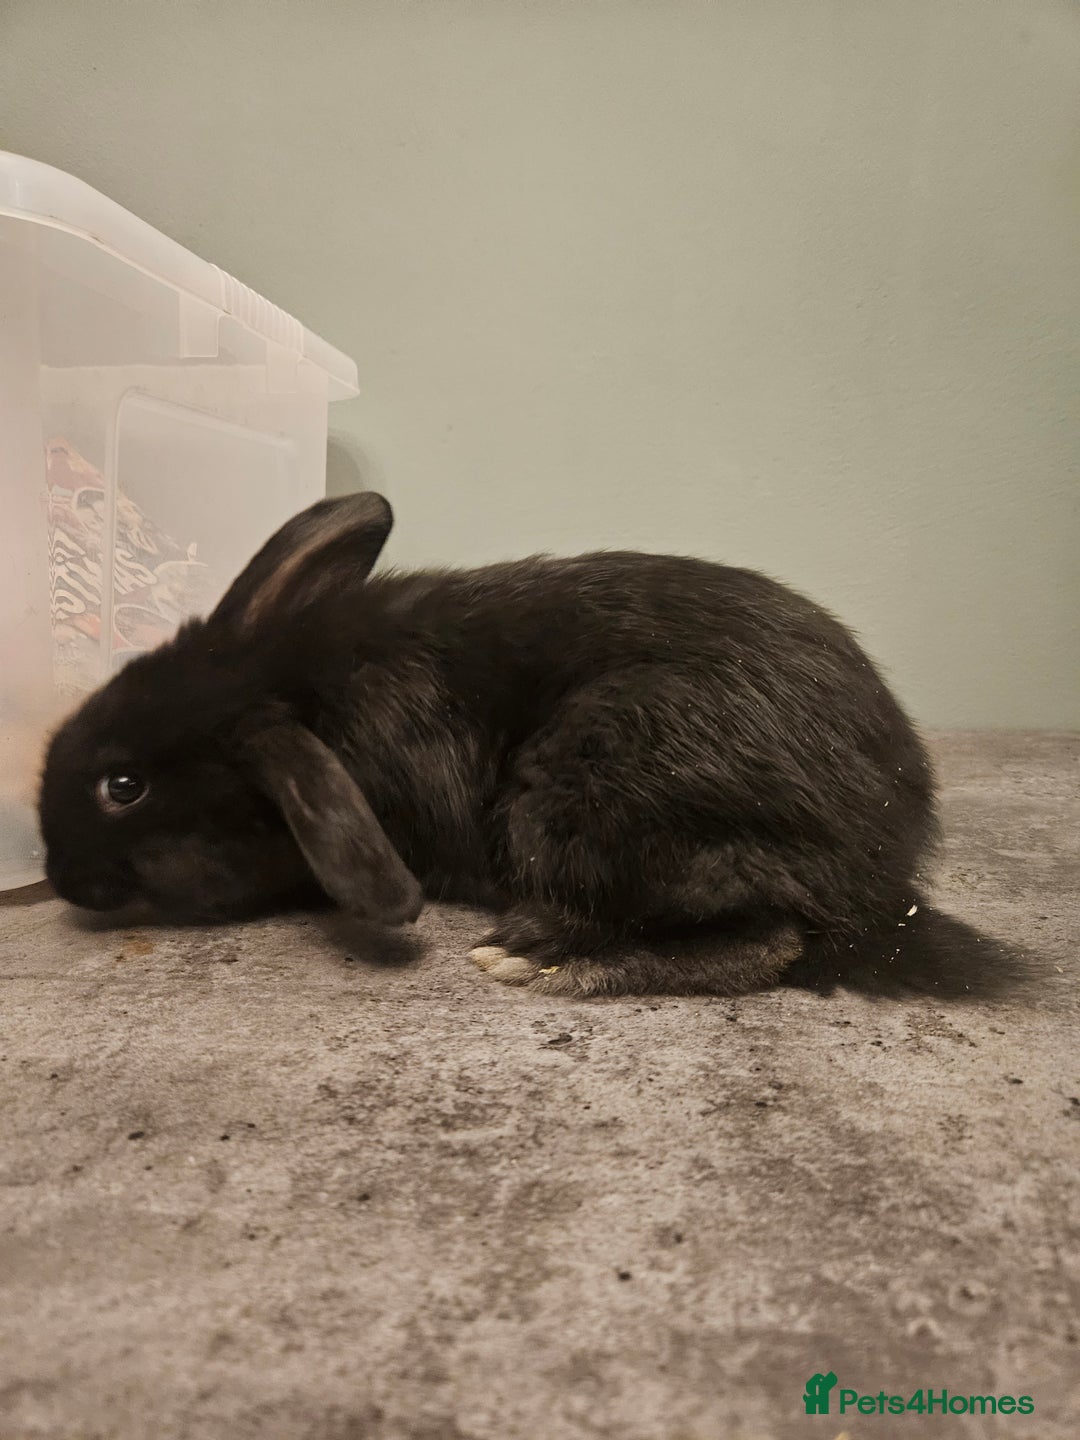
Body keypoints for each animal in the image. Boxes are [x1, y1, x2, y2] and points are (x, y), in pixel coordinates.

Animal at [39, 491, 942, 997]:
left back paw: (543, 962)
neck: (302, 692)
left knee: (767, 939)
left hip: (576, 794)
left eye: (123, 787)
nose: (60, 878)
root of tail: (887, 853)